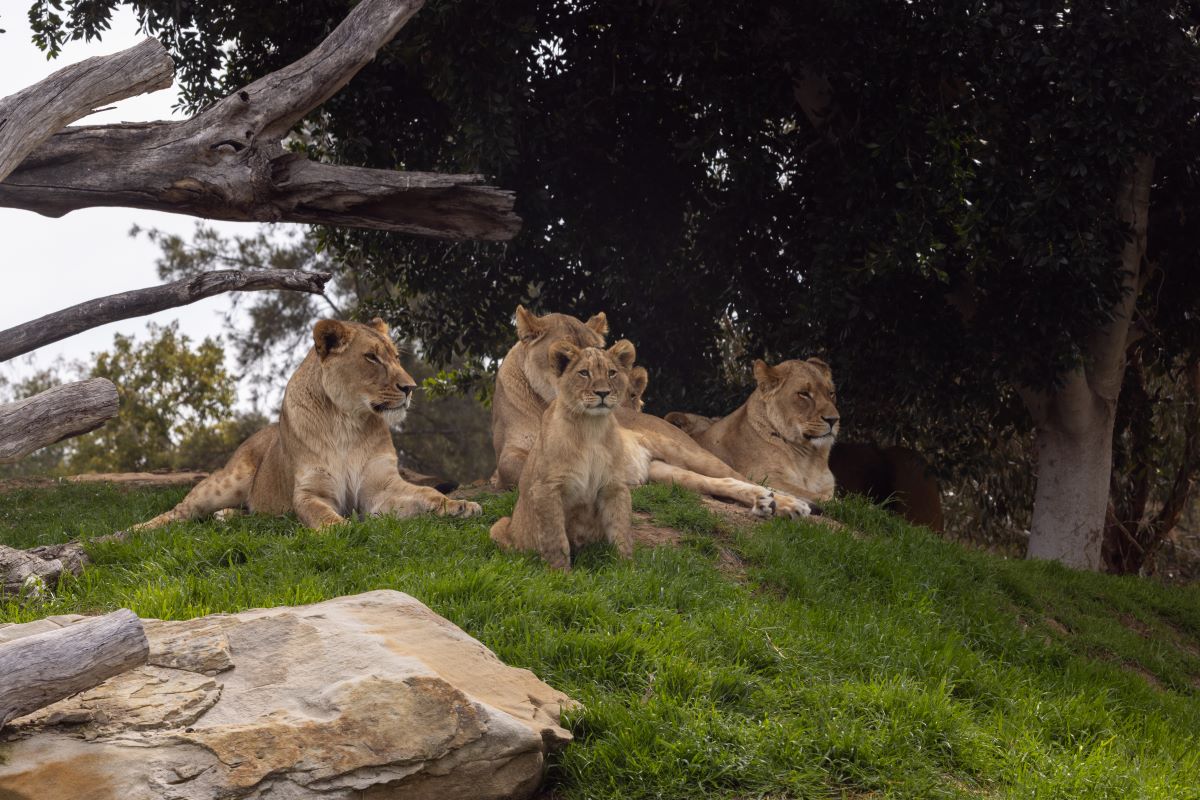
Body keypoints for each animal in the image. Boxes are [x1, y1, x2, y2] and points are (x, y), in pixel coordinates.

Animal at [135, 318, 481, 530]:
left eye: (396, 357)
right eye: (371, 357)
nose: (410, 388)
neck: (347, 421)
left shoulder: (382, 488)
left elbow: (427, 493)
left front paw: (460, 505)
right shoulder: (310, 491)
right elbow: (320, 514)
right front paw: (343, 528)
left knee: (252, 512)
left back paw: (227, 516)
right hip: (227, 481)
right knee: (181, 511)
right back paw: (132, 532)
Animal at [490, 341, 639, 570]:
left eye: (612, 373)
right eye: (584, 373)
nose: (603, 393)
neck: (591, 428)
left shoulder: (614, 486)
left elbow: (621, 529)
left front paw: (626, 568)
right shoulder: (546, 487)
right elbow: (555, 537)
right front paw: (560, 572)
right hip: (499, 525)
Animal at [491, 306, 815, 517]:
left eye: (601, 356)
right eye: (566, 357)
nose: (604, 392)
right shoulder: (509, 453)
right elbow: (515, 468)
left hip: (690, 453)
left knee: (741, 477)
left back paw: (790, 504)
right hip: (666, 473)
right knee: (722, 484)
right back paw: (767, 503)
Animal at [665, 358, 840, 502]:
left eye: (831, 393)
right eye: (803, 393)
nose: (834, 420)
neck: (809, 458)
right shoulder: (765, 478)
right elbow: (824, 499)